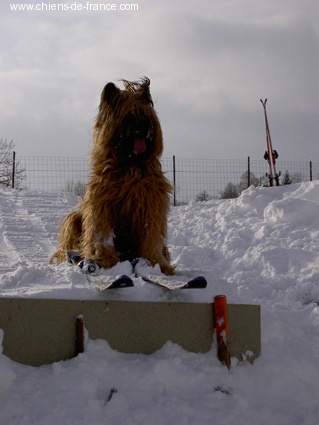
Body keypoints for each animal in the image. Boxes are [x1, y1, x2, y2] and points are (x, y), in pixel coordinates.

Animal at [50, 76, 175, 274]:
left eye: (146, 114)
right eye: (130, 116)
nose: (143, 125)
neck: (130, 165)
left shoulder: (150, 207)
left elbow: (151, 238)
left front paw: (157, 264)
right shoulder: (102, 206)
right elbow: (102, 236)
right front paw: (103, 260)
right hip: (74, 218)